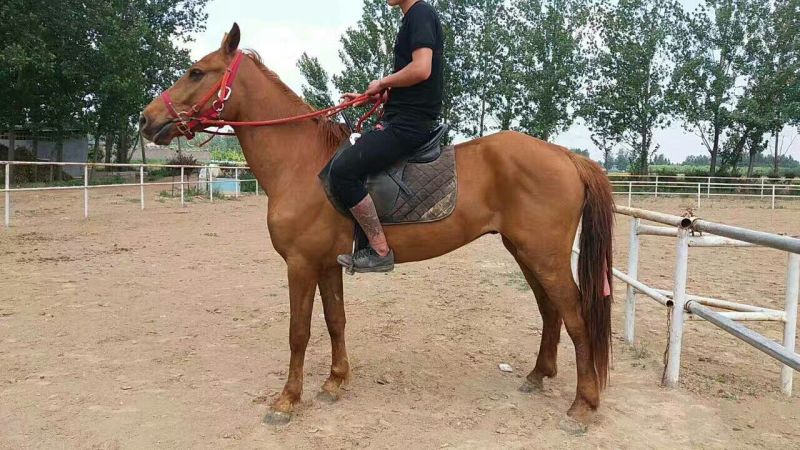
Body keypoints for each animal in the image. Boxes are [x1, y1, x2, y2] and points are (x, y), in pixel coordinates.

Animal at [140, 23, 615, 430]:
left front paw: (286, 400)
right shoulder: (326, 264)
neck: (300, 162)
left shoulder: (300, 264)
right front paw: (335, 381)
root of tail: (567, 156)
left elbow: (298, 332)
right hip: (525, 252)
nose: (146, 119)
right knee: (550, 310)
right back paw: (538, 376)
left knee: (575, 316)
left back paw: (583, 404)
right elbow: (335, 320)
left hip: (545, 255)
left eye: (196, 71)